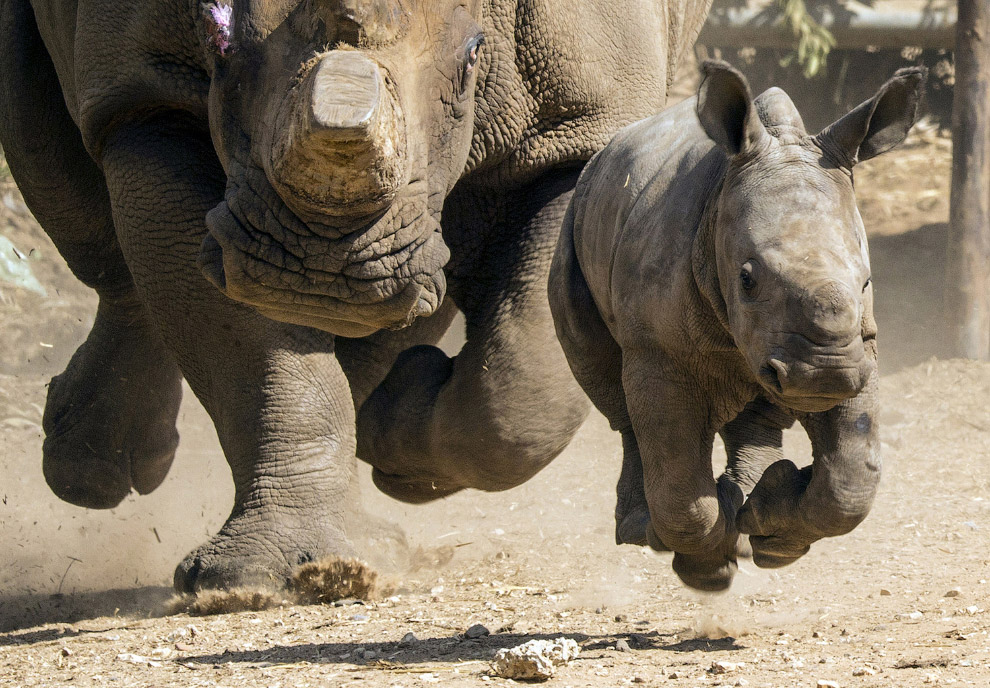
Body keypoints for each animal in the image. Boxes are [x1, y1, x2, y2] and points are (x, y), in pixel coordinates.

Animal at [0, 1, 712, 592]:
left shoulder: (578, 125)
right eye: (215, 44)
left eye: (473, 59)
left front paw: (396, 443)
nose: (319, 271)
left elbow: (523, 387)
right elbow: (249, 349)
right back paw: (94, 469)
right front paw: (266, 579)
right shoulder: (146, 102)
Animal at [556, 61, 928, 592]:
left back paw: (755, 513)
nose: (823, 375)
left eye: (867, 282)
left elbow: (852, 475)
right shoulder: (658, 350)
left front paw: (773, 535)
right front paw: (708, 567)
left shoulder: (861, 345)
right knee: (611, 392)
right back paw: (645, 528)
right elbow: (680, 490)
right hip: (572, 229)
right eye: (747, 280)